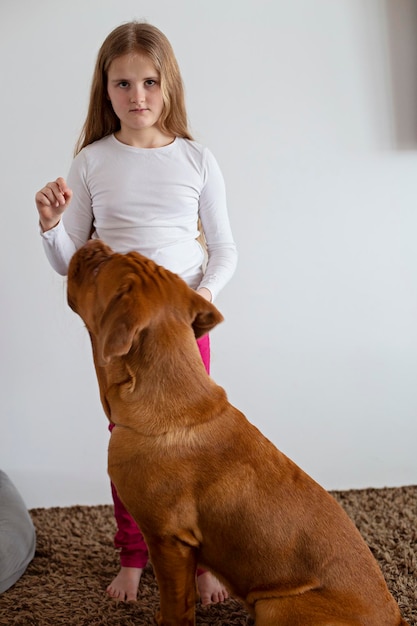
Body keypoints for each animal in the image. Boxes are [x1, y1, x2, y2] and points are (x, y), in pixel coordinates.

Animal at [67, 239, 406, 624]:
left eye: (99, 268)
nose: (94, 244)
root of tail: (396, 618)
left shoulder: (168, 540)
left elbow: (175, 603)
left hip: (276, 606)